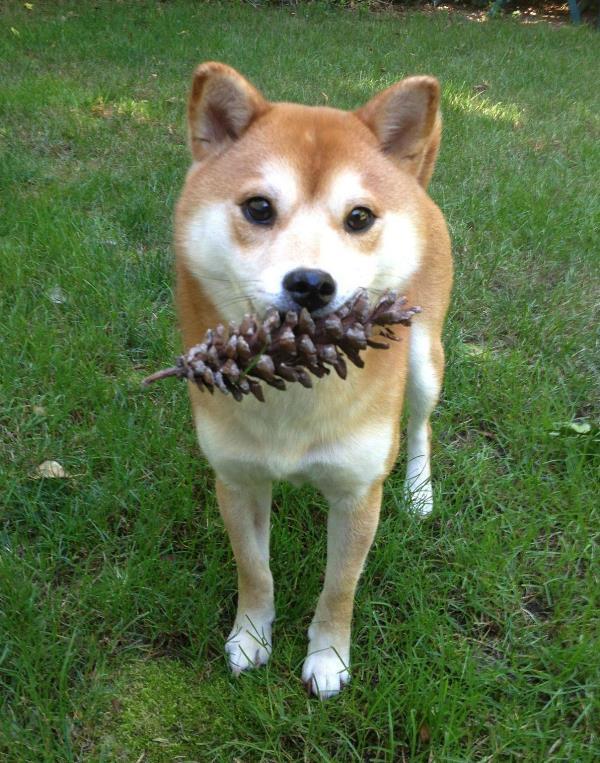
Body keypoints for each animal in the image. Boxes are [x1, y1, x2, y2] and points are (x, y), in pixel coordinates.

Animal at [172, 62, 450, 700]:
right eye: (258, 207)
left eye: (359, 217)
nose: (311, 284)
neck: (296, 383)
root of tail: (420, 188)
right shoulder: (237, 481)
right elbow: (254, 570)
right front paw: (251, 637)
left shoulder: (358, 494)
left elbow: (339, 588)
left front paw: (328, 658)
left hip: (425, 361)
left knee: (420, 425)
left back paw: (420, 490)